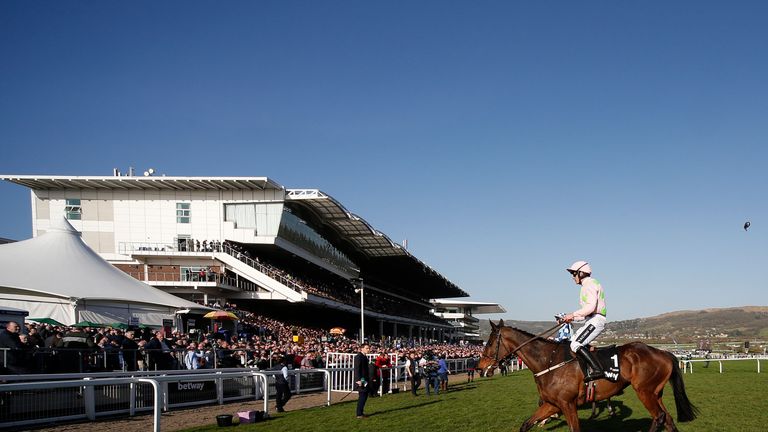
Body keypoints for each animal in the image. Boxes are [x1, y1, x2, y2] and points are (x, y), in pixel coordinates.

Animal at [476, 318, 700, 430]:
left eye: (489, 342)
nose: (479, 367)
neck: (548, 361)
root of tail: (663, 352)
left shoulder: (567, 404)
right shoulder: (552, 403)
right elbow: (526, 425)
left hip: (644, 391)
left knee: (660, 417)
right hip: (655, 393)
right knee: (667, 419)